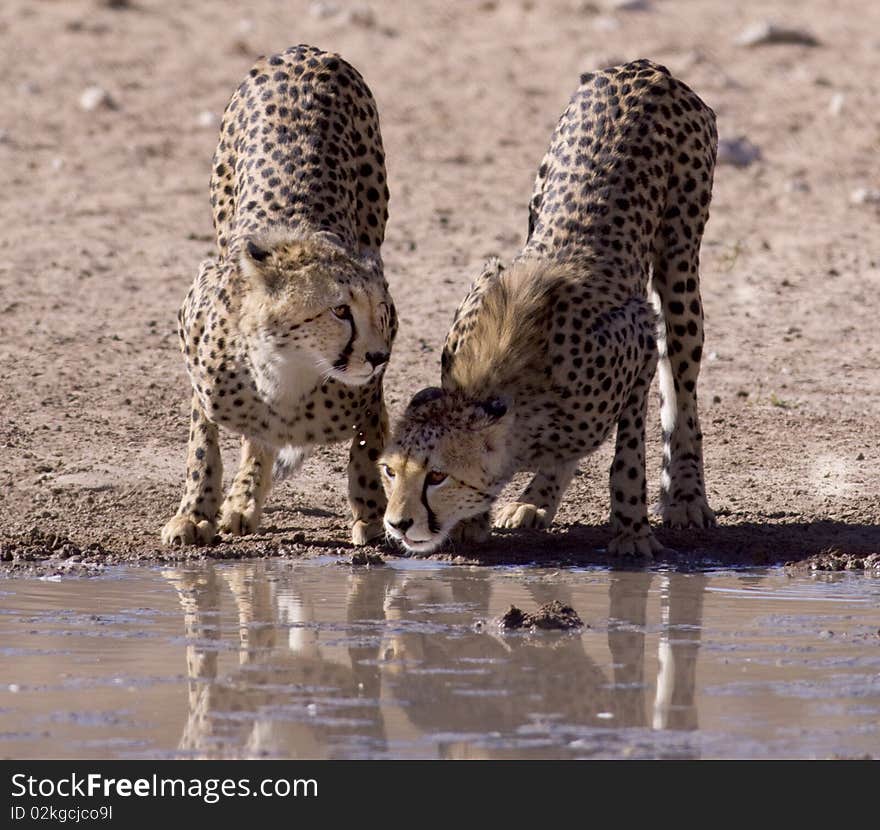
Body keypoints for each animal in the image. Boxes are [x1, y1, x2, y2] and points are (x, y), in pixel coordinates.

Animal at [163, 47, 398, 552]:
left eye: (381, 312)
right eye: (340, 310)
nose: (378, 356)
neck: (287, 371)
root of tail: (307, 50)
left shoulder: (369, 390)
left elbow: (367, 442)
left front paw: (371, 514)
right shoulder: (195, 333)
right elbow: (202, 444)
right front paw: (194, 514)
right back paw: (241, 501)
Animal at [382, 60, 720, 560]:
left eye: (437, 475)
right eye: (390, 471)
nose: (397, 523)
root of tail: (644, 68)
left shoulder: (638, 338)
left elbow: (628, 457)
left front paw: (632, 531)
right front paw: (482, 519)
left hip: (679, 264)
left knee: (682, 388)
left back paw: (686, 496)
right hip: (538, 197)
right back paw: (535, 500)